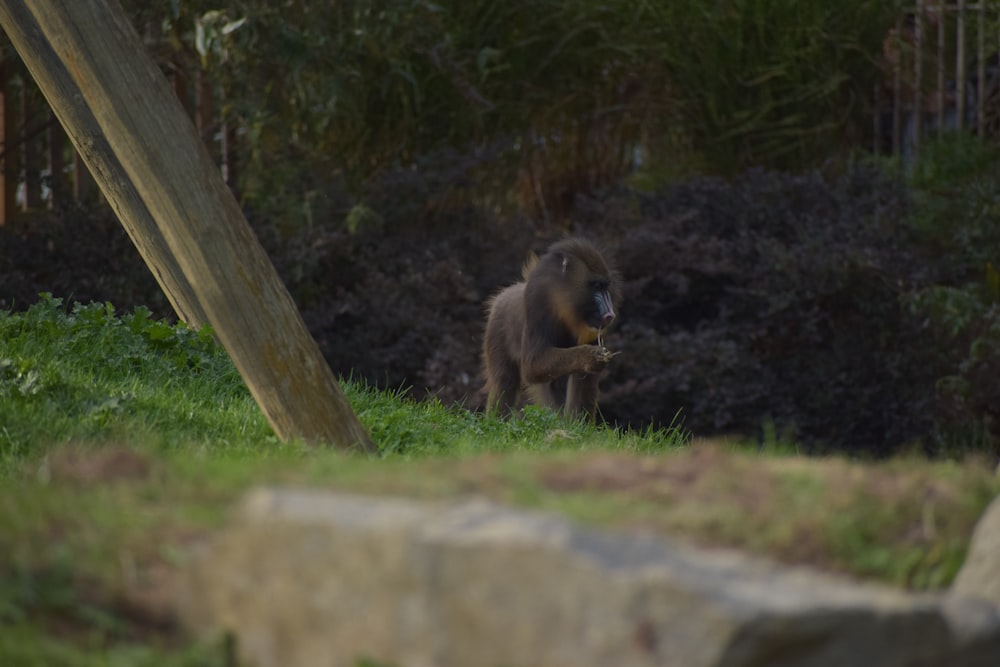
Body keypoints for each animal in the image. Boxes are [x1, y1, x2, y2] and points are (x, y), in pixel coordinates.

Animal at [482, 237, 620, 420]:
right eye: (596, 286)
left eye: (605, 287)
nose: (610, 314)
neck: (561, 306)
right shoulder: (536, 307)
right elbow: (532, 365)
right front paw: (589, 355)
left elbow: (584, 379)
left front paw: (577, 423)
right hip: (497, 333)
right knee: (504, 381)